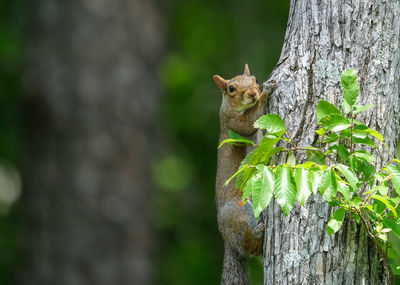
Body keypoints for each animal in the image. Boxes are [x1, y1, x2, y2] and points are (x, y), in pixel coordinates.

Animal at [212, 64, 268, 284]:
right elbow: (249, 122)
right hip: (239, 211)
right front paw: (267, 94)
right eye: (231, 88)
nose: (253, 93)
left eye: (255, 79)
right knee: (250, 246)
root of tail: (227, 239)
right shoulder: (232, 124)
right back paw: (259, 232)